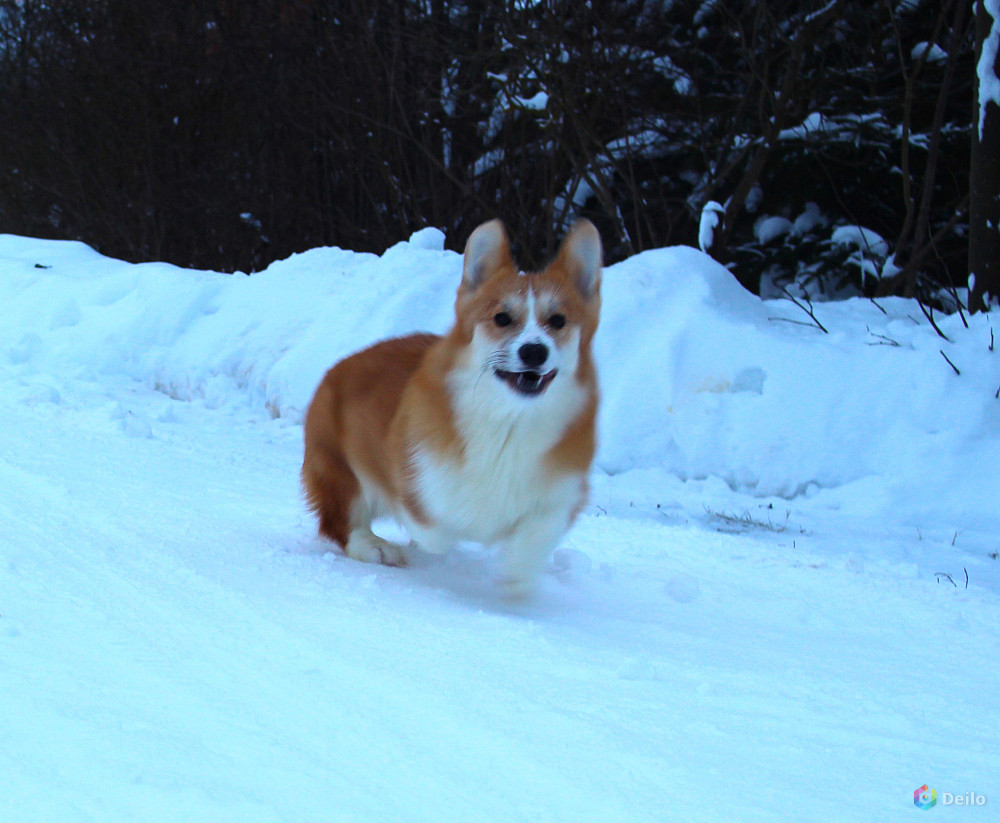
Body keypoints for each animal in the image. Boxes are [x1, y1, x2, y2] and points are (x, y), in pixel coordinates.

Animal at [300, 219, 600, 600]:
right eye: (502, 318)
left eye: (558, 320)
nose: (534, 351)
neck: (509, 419)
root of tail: (338, 366)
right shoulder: (420, 473)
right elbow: (432, 523)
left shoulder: (561, 490)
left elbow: (537, 533)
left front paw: (517, 579)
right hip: (337, 468)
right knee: (340, 520)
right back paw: (376, 546)